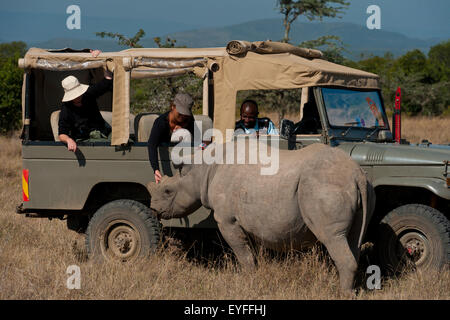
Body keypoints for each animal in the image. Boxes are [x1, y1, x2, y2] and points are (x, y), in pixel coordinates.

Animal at [149, 142, 376, 296]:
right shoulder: (251, 221)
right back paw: (351, 290)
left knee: (333, 237)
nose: (153, 208)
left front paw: (246, 281)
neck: (202, 171)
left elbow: (243, 254)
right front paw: (256, 276)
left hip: (324, 186)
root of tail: (356, 174)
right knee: (353, 239)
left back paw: (341, 294)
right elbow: (253, 252)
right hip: (358, 186)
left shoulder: (227, 220)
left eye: (168, 191)